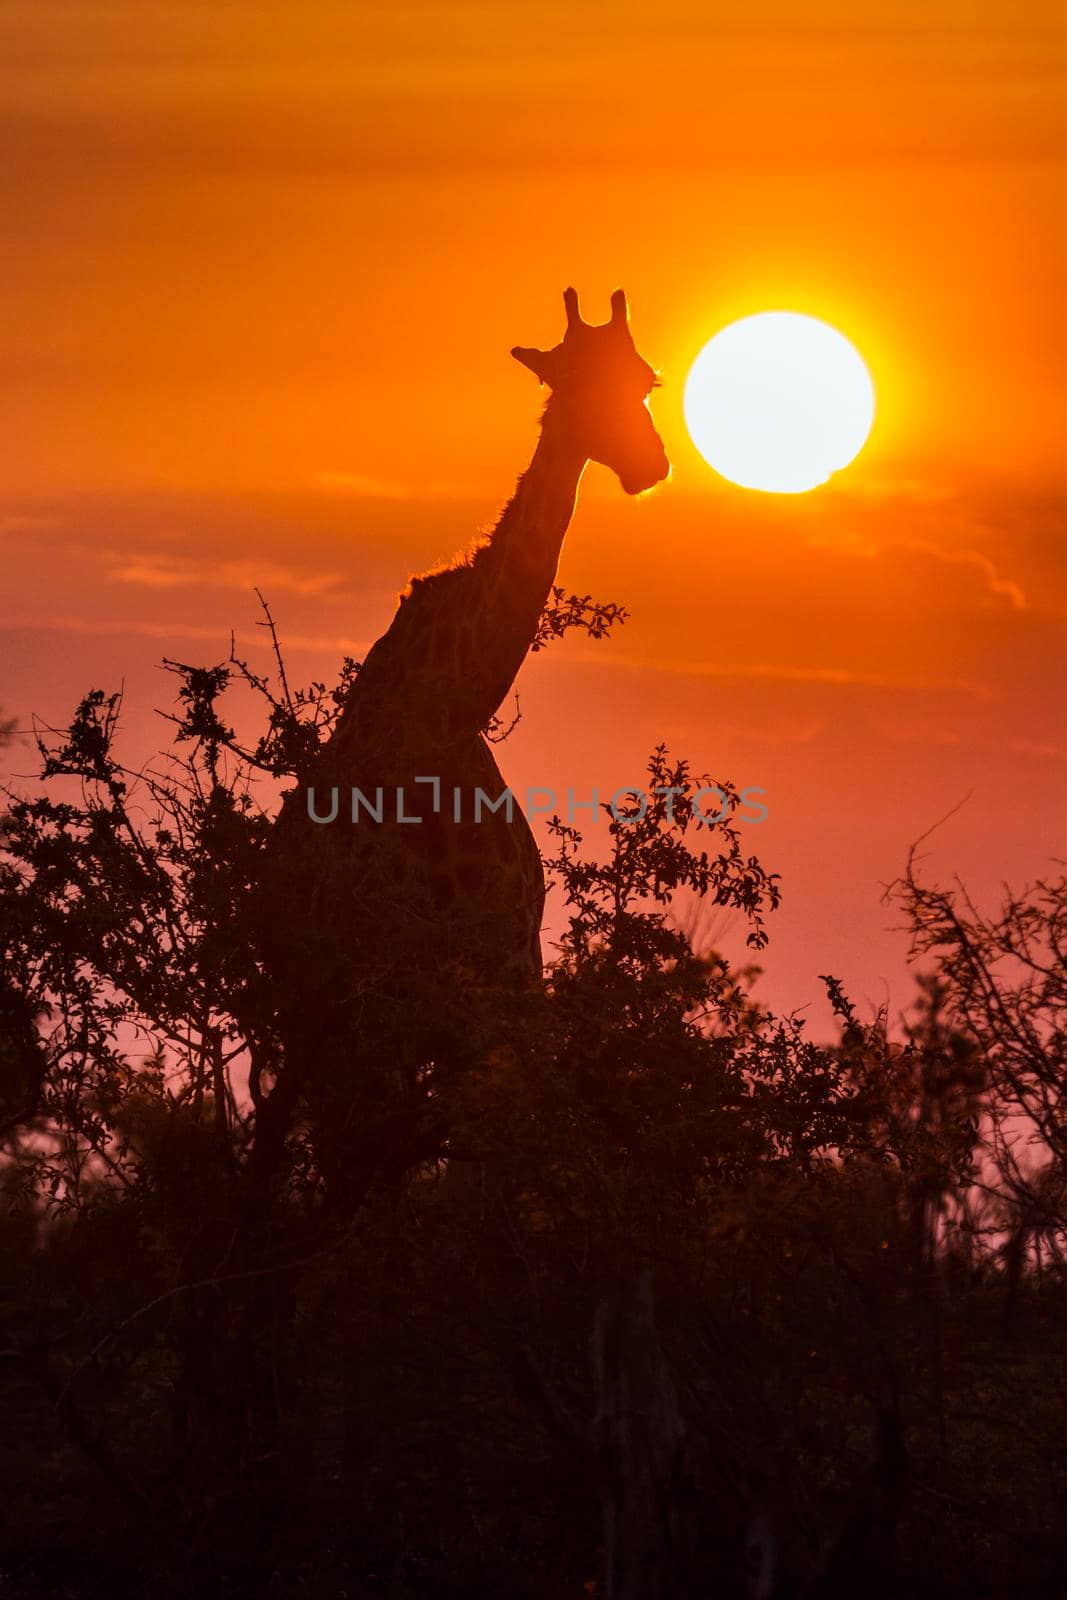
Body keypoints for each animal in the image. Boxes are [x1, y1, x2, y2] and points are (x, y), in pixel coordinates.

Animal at [255, 288, 668, 1196]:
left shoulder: (510, 970)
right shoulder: (419, 986)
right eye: (571, 380)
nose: (649, 463)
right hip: (325, 1018)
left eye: (645, 379)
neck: (449, 712)